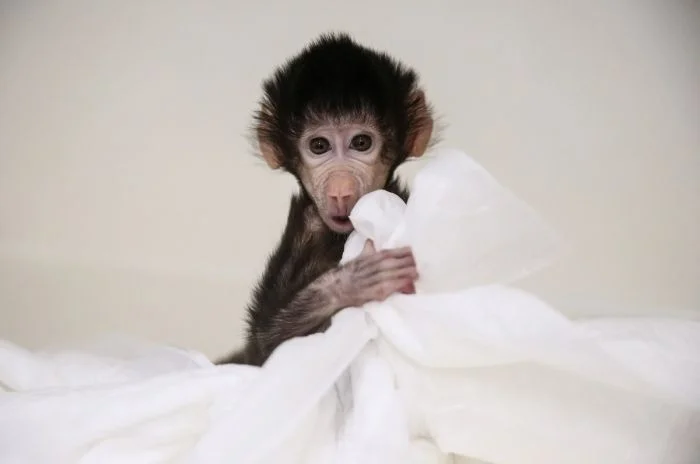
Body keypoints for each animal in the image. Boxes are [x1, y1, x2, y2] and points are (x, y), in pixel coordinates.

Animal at [218, 32, 435, 366]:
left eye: (361, 142)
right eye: (319, 146)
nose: (340, 189)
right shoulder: (306, 226)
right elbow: (266, 348)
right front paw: (354, 282)